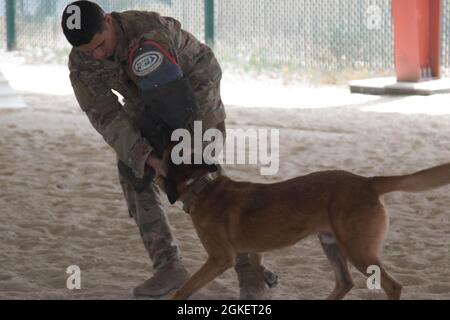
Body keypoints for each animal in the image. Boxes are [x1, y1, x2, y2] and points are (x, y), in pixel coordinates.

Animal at [157, 150, 450, 300]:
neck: (202, 188)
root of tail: (367, 182)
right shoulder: (252, 250)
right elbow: (257, 263)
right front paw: (268, 278)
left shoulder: (219, 259)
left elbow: (184, 289)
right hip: (332, 245)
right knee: (344, 283)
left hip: (358, 252)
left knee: (392, 286)